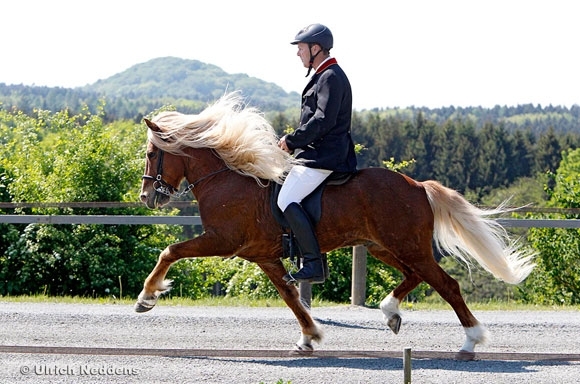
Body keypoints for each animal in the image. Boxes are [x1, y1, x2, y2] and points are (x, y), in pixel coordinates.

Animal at [135, 91, 536, 362]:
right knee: (416, 276)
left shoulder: (222, 240)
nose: (146, 197)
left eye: (153, 154)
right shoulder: (264, 256)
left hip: (407, 246)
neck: (228, 178)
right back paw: (391, 311)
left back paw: (470, 341)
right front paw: (309, 337)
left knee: (446, 284)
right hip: (383, 246)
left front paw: (147, 297)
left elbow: (170, 251)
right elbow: (291, 297)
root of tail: (418, 185)